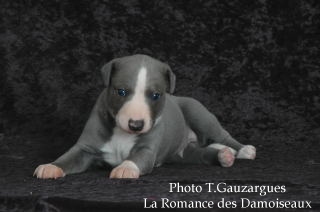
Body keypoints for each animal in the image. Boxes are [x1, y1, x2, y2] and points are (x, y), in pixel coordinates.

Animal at [34, 54, 255, 179]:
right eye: (121, 91)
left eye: (155, 95)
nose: (136, 124)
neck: (122, 132)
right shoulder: (85, 148)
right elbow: (68, 157)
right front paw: (51, 167)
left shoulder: (147, 149)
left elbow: (137, 158)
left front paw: (125, 168)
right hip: (182, 154)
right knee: (201, 154)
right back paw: (223, 156)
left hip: (199, 114)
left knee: (223, 136)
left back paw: (243, 150)